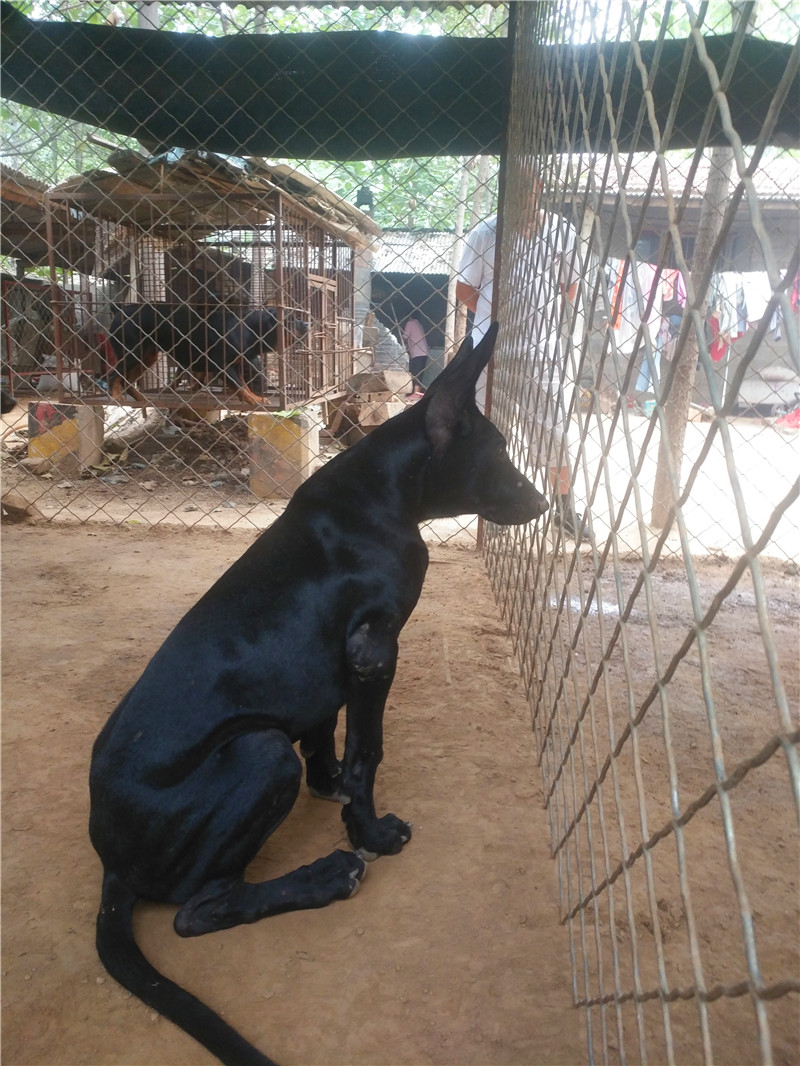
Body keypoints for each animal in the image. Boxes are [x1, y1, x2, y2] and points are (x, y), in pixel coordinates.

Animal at [89, 324, 550, 1066]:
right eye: (496, 452)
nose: (544, 506)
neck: (382, 496)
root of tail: (110, 862)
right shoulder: (374, 651)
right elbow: (368, 752)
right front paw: (369, 831)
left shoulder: (338, 666)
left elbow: (323, 728)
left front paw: (328, 784)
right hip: (259, 752)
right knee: (197, 910)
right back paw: (327, 876)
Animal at [106, 304, 281, 402]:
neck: (250, 329)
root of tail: (119, 310)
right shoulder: (224, 367)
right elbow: (241, 387)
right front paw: (254, 401)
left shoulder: (235, 367)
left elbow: (244, 387)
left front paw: (257, 398)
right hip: (132, 352)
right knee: (113, 375)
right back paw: (116, 397)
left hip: (147, 355)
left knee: (127, 381)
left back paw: (140, 398)